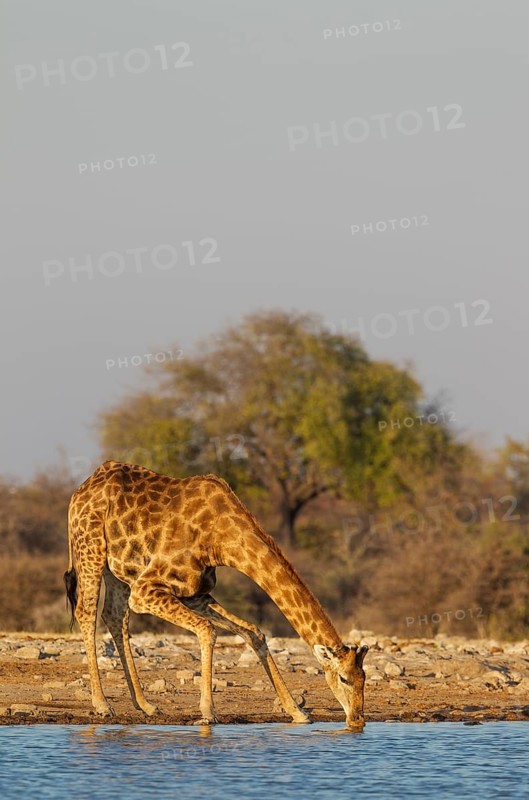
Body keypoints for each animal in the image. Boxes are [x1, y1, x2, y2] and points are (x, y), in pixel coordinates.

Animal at [64, 461, 368, 727]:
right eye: (343, 678)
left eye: (364, 678)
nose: (357, 720)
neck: (221, 540)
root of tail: (79, 491)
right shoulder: (145, 589)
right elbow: (208, 630)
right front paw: (208, 712)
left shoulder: (195, 592)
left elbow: (254, 632)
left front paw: (298, 712)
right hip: (90, 550)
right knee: (87, 612)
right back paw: (102, 705)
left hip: (118, 569)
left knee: (114, 616)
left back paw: (146, 705)